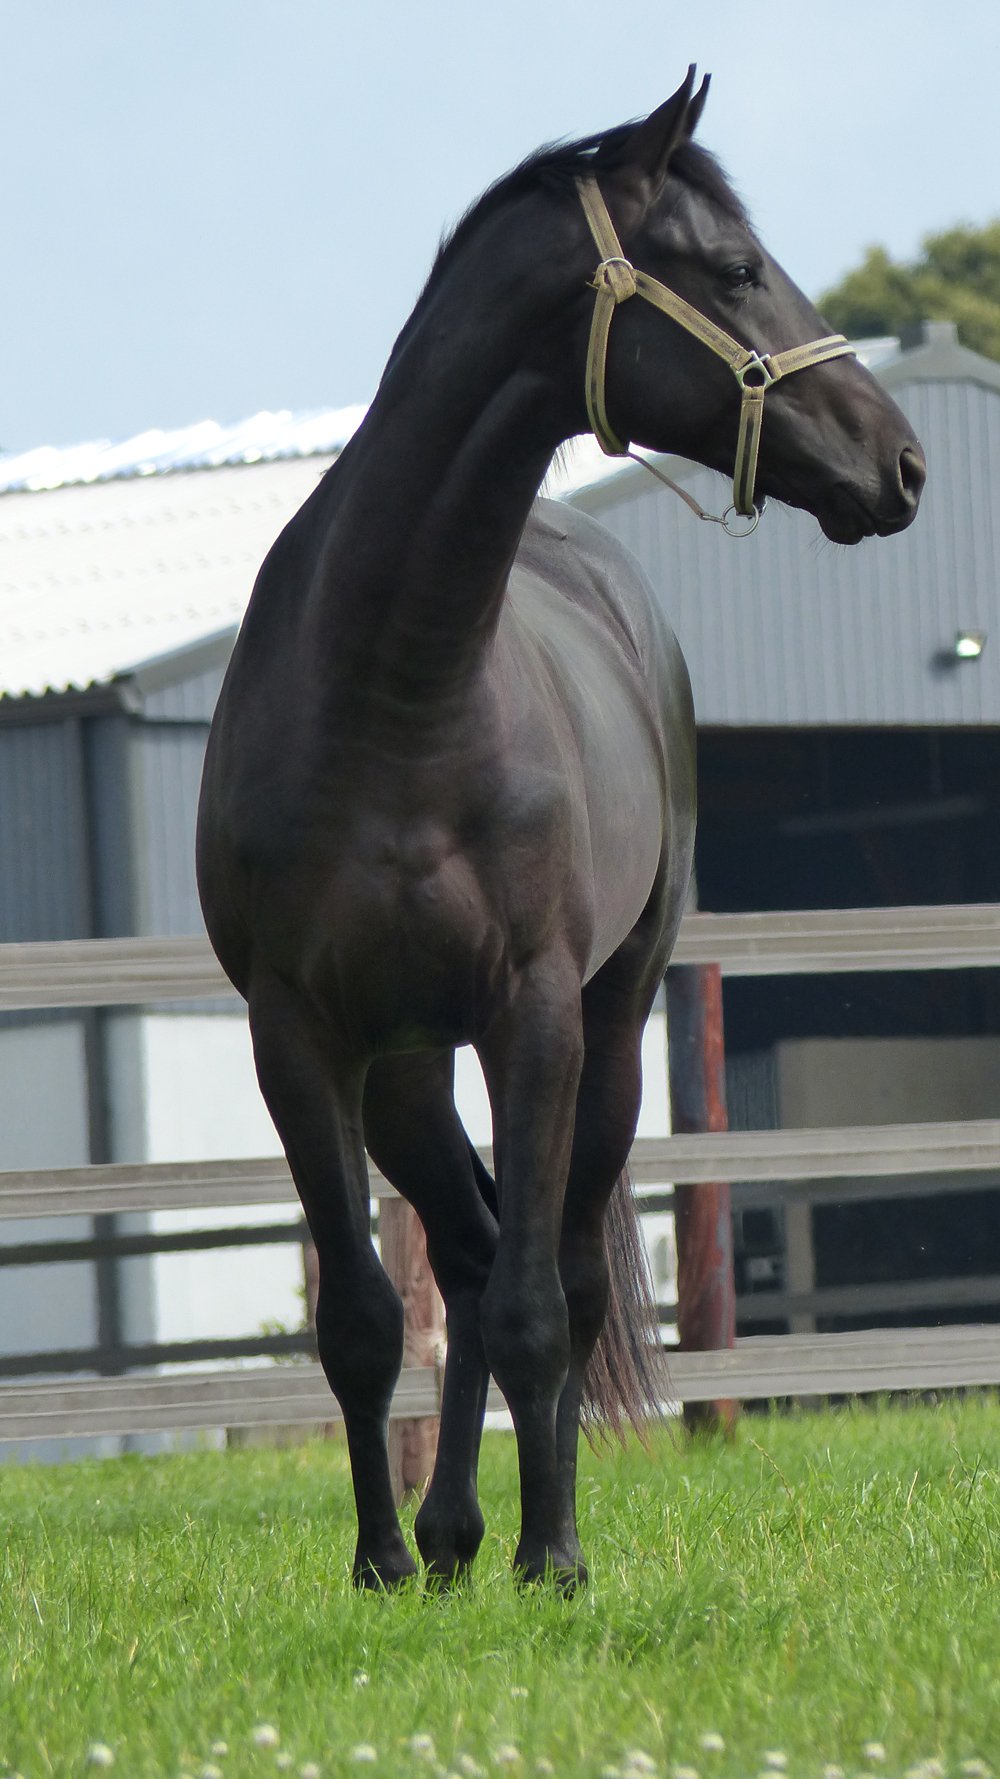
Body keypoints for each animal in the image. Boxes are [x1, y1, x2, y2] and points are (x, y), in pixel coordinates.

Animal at [196, 68, 925, 1591]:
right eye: (733, 268)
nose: (902, 464)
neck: (394, 693)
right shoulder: (297, 1033)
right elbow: (362, 1319)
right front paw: (380, 1564)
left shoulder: (532, 1011)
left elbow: (546, 1304)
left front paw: (560, 1561)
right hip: (408, 1069)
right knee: (469, 1252)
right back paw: (446, 1532)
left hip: (612, 1018)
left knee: (557, 1274)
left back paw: (515, 1535)